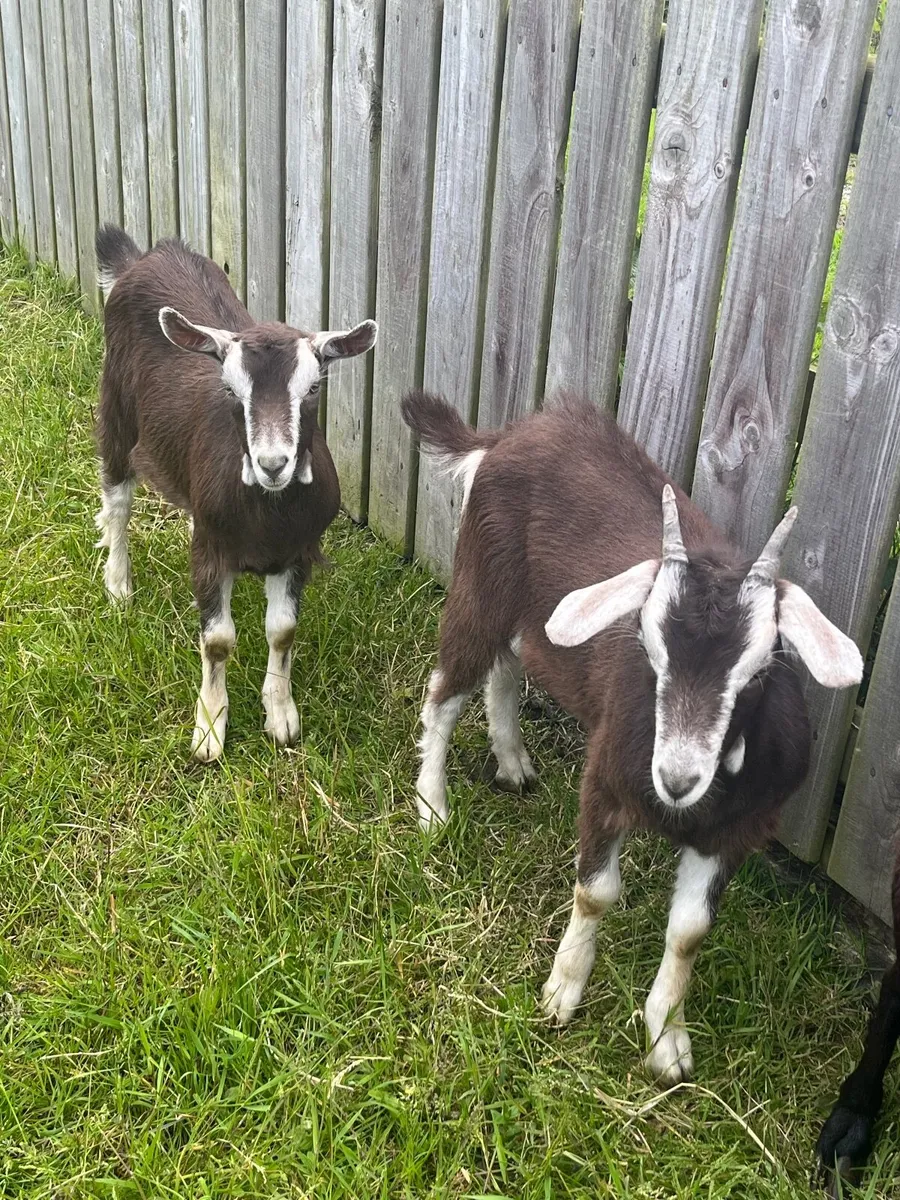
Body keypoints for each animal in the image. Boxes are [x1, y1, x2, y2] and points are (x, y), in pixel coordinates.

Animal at [94, 225, 377, 760]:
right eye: (230, 390)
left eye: (313, 388)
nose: (272, 464)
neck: (265, 519)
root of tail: (144, 257)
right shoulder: (210, 551)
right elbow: (218, 640)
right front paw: (208, 730)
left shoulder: (297, 550)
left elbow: (282, 631)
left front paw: (281, 715)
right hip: (116, 406)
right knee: (117, 498)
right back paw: (118, 584)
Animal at [401, 390, 863, 1085]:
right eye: (647, 646)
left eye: (760, 670)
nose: (675, 779)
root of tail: (505, 435)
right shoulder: (605, 784)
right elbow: (595, 892)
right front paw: (561, 993)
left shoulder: (739, 829)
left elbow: (689, 931)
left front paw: (667, 1040)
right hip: (482, 580)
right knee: (447, 686)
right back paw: (432, 804)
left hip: (533, 611)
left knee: (509, 664)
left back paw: (511, 762)